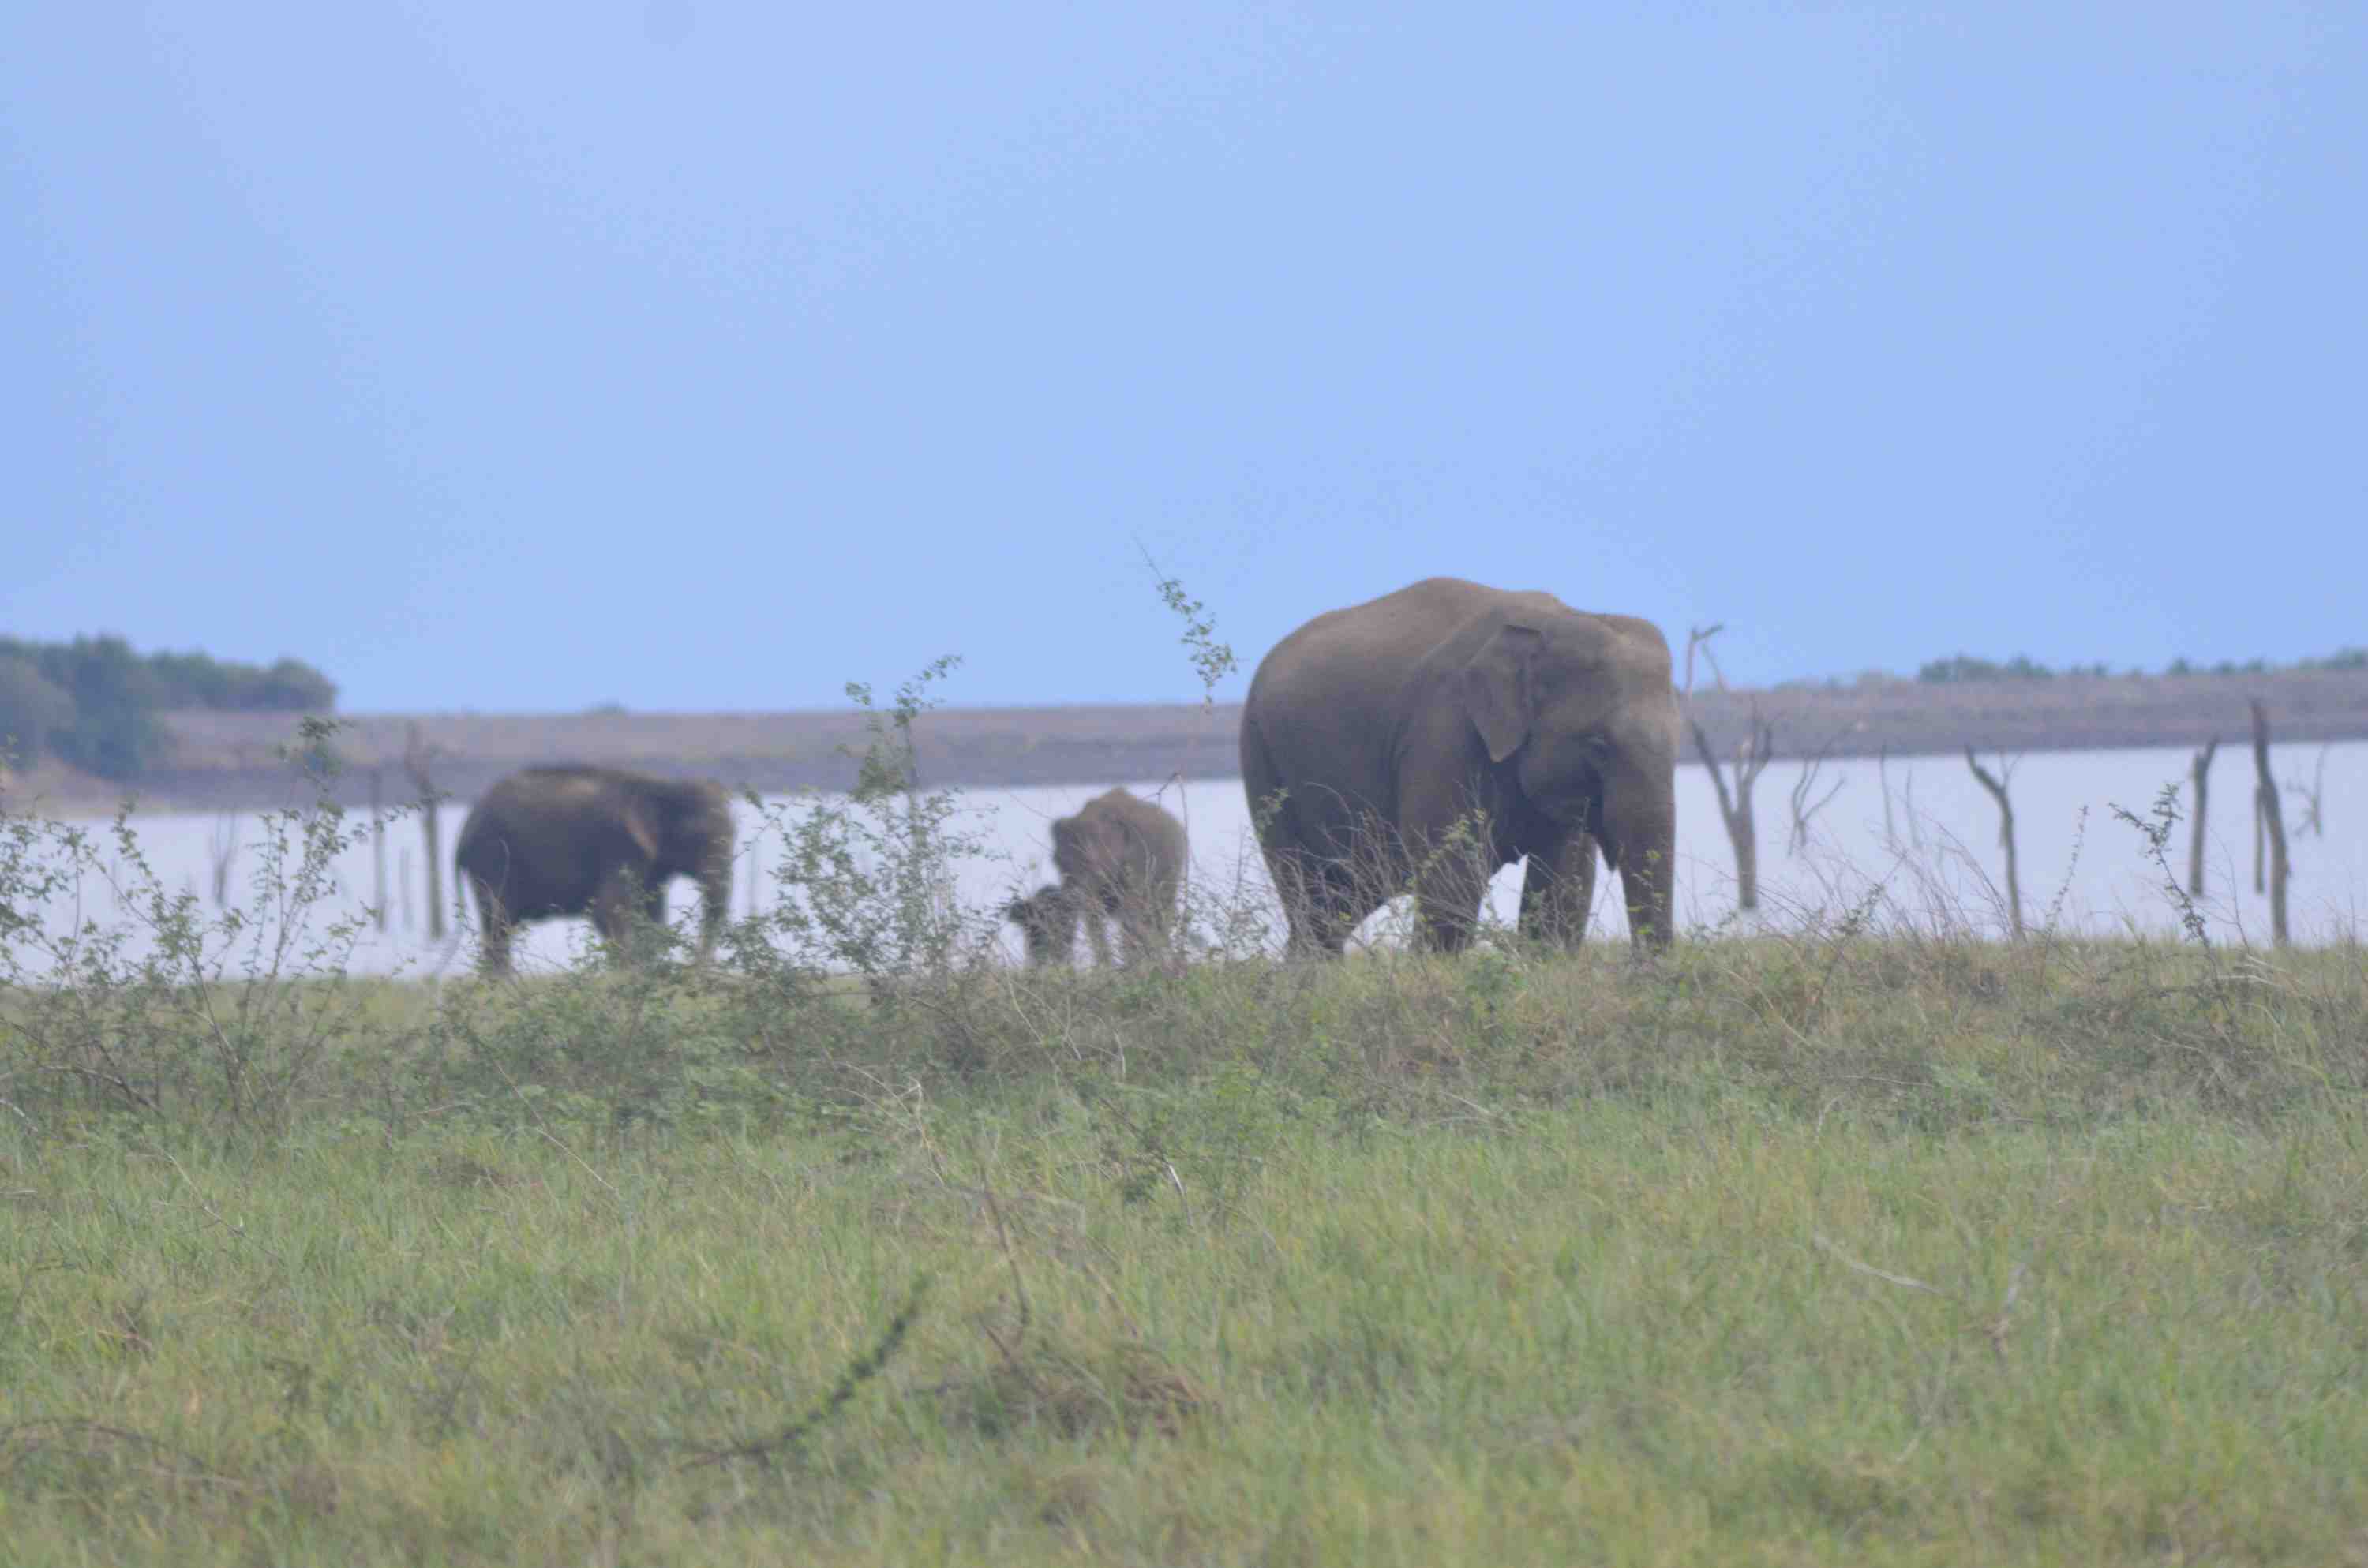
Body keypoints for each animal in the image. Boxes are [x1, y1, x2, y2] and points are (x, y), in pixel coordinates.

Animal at [454, 764, 735, 976]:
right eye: (698, 837)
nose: (694, 969)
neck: (663, 785)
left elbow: (653, 917)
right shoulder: (620, 847)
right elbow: (609, 911)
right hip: (492, 857)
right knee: (499, 925)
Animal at [1239, 577, 1678, 956]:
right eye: (1598, 746)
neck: (1559, 619)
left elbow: (1562, 888)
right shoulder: (1444, 730)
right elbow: (1453, 886)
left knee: (1337, 906)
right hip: (1262, 759)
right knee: (1310, 898)